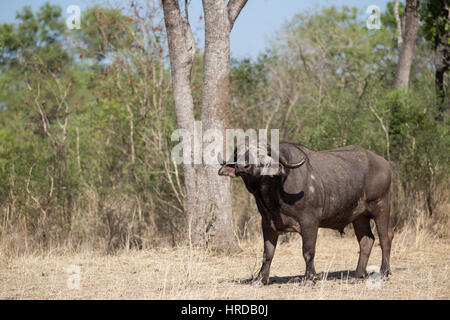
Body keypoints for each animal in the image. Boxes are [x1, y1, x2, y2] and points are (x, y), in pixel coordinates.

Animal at [217, 142, 390, 284]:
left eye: (260, 154)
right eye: (240, 153)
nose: (242, 167)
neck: (276, 190)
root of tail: (384, 163)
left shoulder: (309, 222)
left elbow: (308, 251)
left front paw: (309, 278)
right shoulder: (267, 222)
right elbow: (268, 253)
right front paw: (260, 279)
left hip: (381, 207)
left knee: (385, 240)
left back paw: (384, 273)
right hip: (359, 217)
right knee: (366, 241)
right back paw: (357, 275)